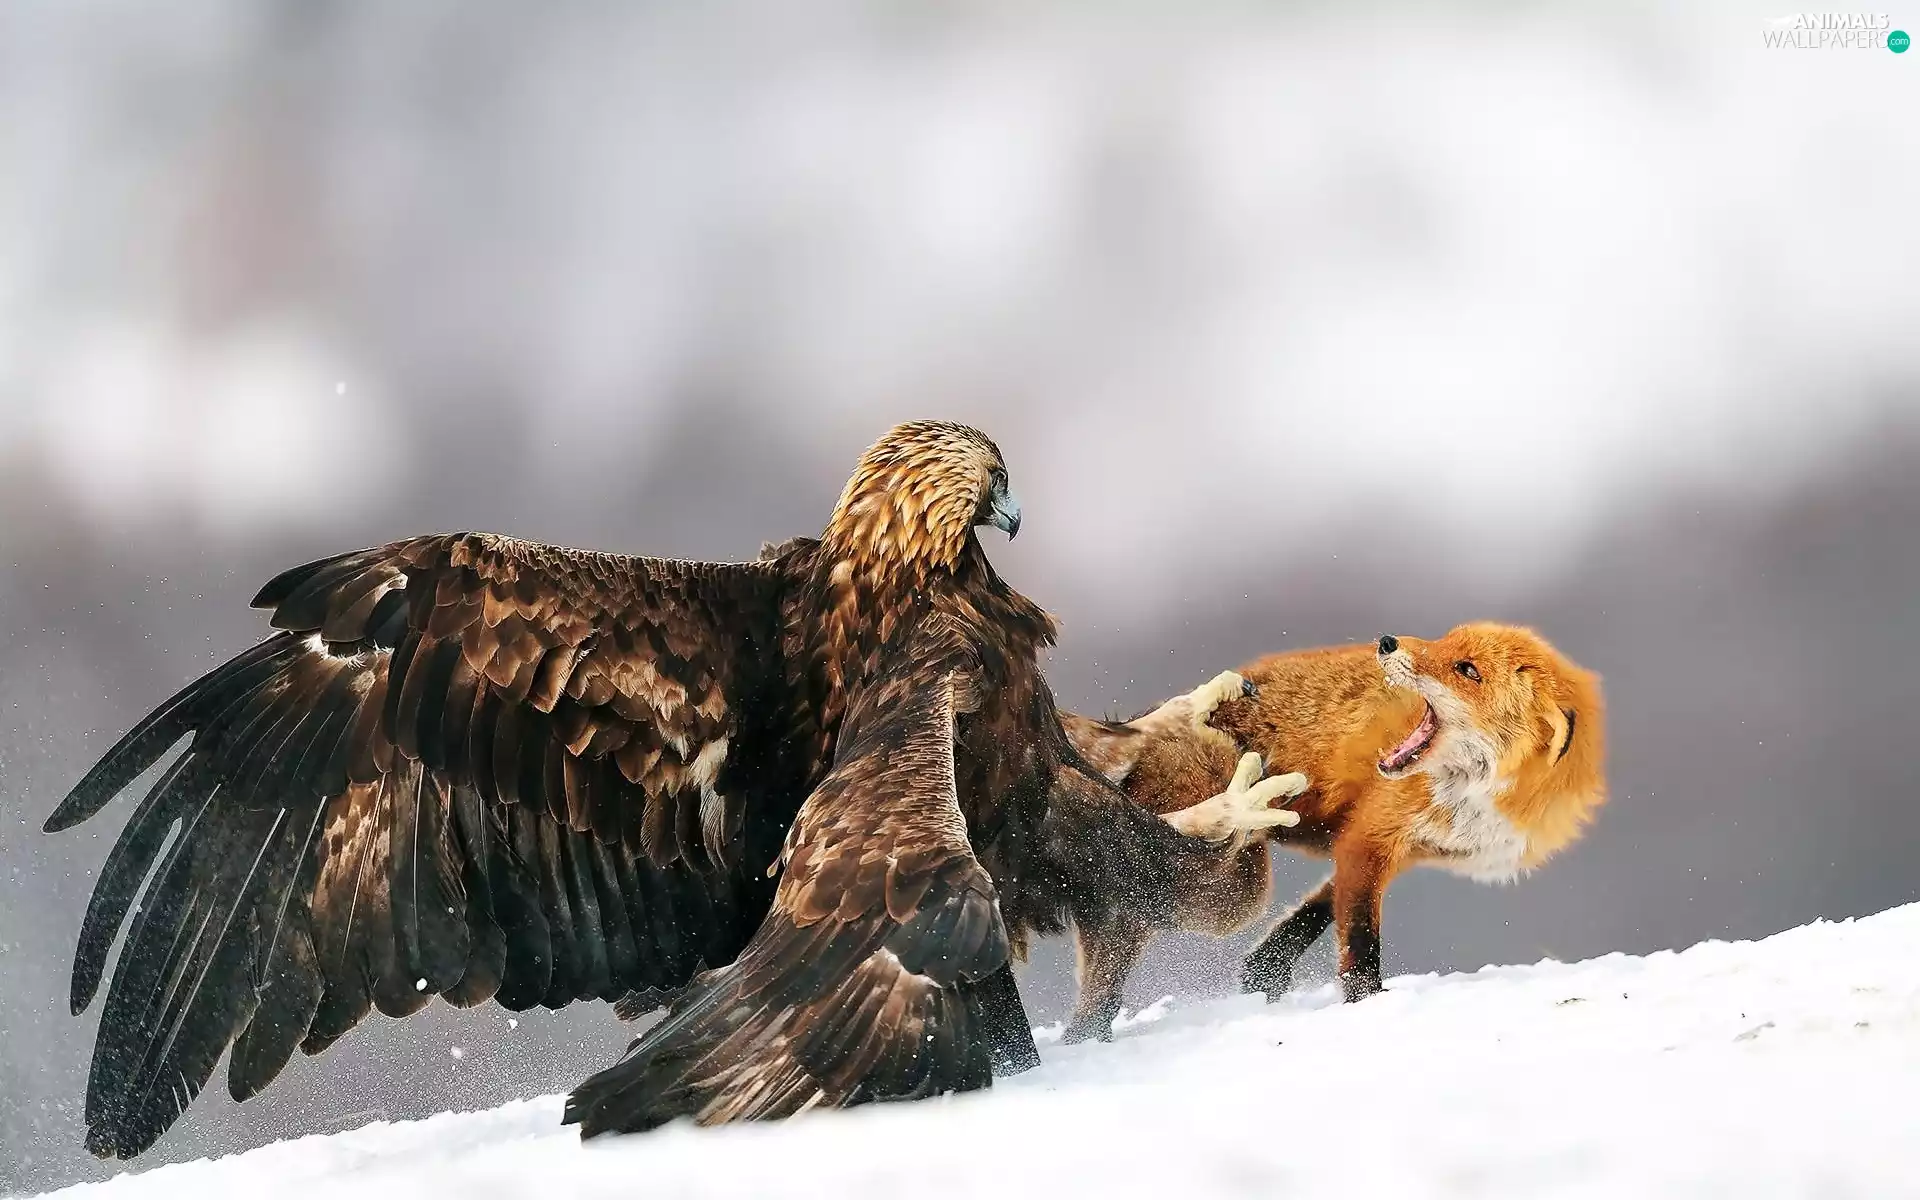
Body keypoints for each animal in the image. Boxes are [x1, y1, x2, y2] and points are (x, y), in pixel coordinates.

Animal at [1058, 623, 1605, 1043]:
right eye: (1444, 640)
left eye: (1467, 669)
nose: (1386, 641)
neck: (1479, 799)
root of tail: (1127, 732)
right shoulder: (1372, 838)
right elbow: (1360, 943)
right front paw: (1365, 1006)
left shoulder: (1386, 845)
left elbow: (1311, 915)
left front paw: (1264, 972)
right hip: (1236, 889)